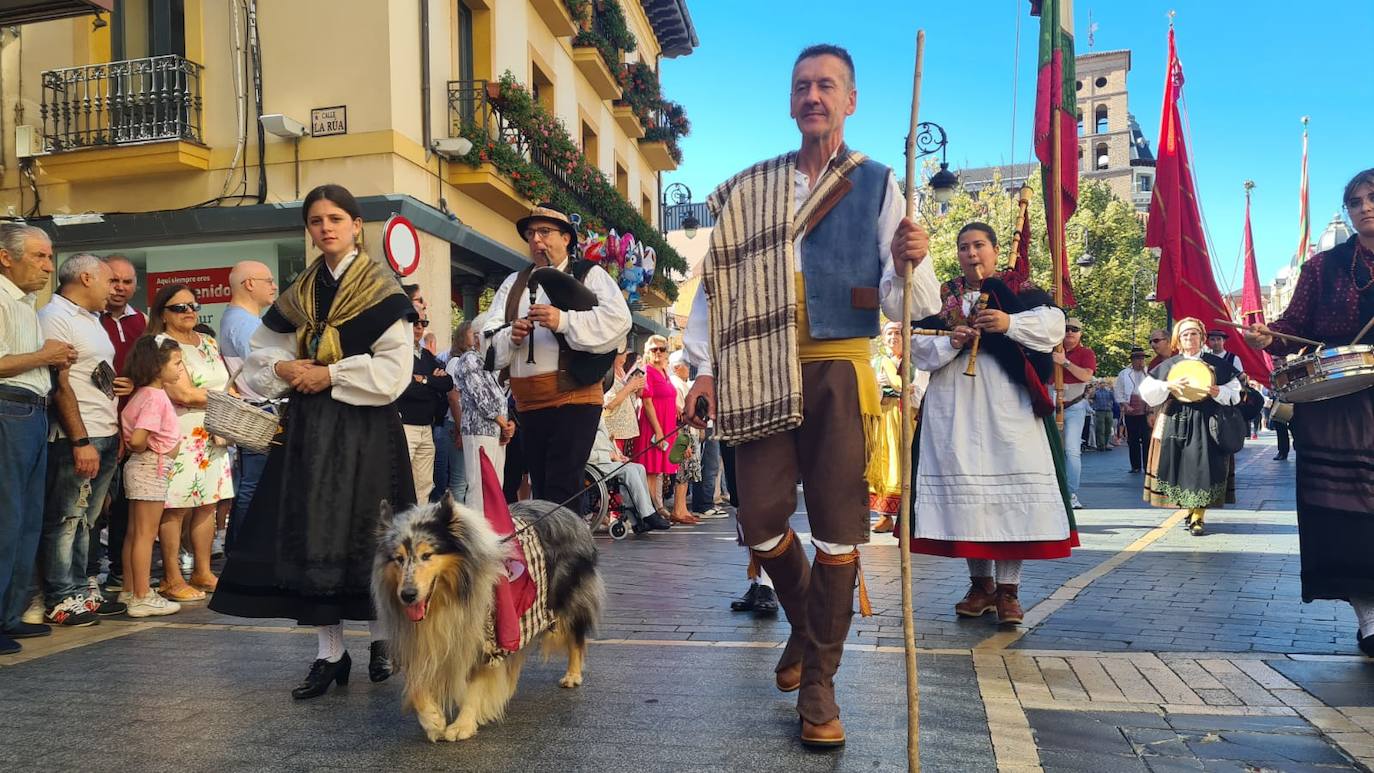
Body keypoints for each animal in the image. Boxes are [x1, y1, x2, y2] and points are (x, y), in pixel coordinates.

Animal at [370, 497, 601, 741]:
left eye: (427, 555)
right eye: (398, 559)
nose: (407, 595)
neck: (447, 598)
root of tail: (570, 513)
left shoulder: (487, 638)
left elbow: (476, 686)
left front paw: (462, 725)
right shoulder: (421, 643)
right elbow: (416, 686)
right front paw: (433, 720)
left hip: (565, 602)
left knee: (576, 637)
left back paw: (572, 675)